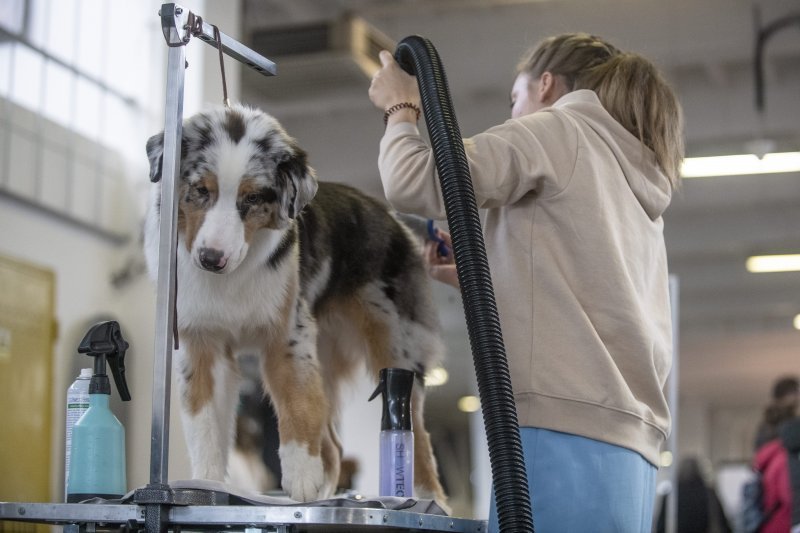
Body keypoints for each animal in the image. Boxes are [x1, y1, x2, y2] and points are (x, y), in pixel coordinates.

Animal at [145, 103, 450, 502]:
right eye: (200, 190)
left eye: (252, 198)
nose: (212, 259)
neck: (231, 277)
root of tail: (390, 214)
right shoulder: (200, 341)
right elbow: (205, 423)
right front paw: (206, 483)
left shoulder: (289, 333)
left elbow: (297, 401)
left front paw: (301, 482)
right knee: (334, 446)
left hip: (396, 347)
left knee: (419, 439)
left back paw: (428, 501)